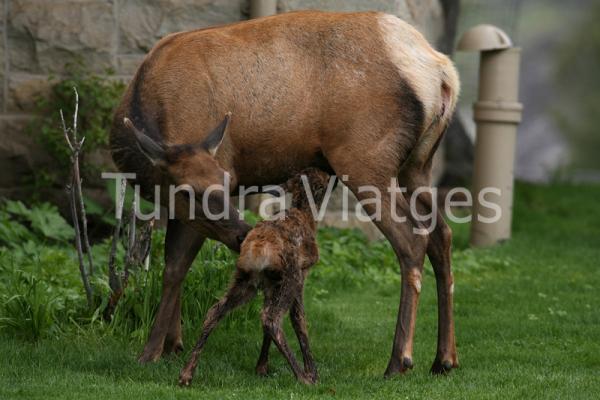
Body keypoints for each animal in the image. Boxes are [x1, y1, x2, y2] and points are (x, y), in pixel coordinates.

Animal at [178, 167, 330, 386]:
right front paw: (313, 373)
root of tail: (257, 247)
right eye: (322, 179)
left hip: (245, 279)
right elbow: (299, 319)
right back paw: (302, 377)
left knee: (215, 311)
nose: (331, 175)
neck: (306, 215)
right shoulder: (302, 273)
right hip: (289, 276)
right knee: (271, 318)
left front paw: (261, 368)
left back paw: (186, 374)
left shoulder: (270, 284)